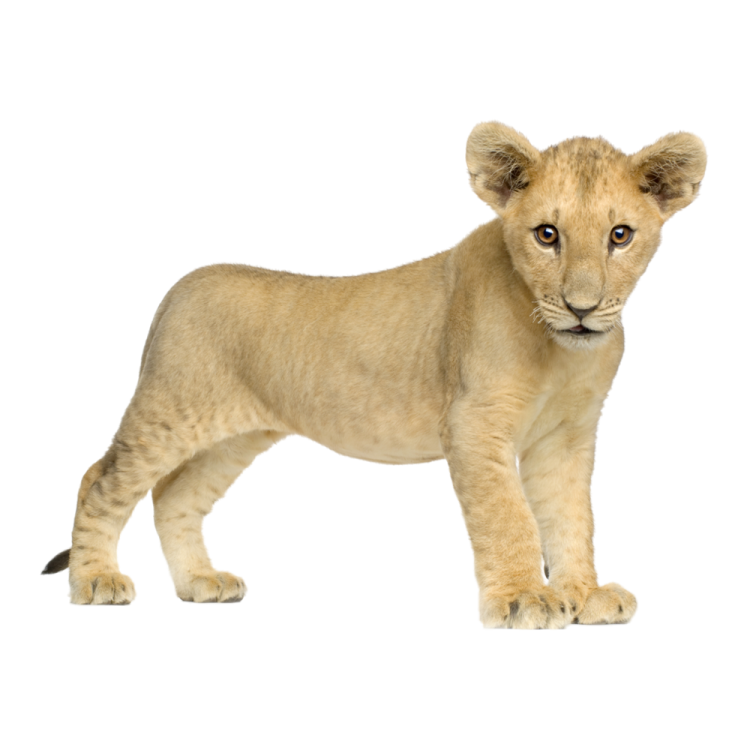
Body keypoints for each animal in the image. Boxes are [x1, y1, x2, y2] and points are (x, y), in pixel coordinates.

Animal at [40, 120, 708, 628]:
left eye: (620, 235)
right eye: (547, 235)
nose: (582, 307)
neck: (559, 349)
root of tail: (182, 283)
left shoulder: (566, 438)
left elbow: (572, 517)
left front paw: (584, 594)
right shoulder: (475, 426)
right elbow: (508, 516)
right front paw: (524, 599)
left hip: (235, 438)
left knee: (175, 496)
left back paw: (200, 582)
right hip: (171, 409)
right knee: (100, 479)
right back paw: (97, 581)